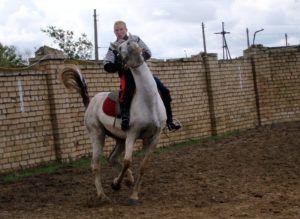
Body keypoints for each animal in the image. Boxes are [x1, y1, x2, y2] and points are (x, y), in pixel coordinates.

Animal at [60, 33, 166, 204]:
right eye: (120, 48)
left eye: (136, 41)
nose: (135, 52)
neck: (148, 101)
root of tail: (91, 103)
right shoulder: (132, 134)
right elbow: (128, 161)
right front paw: (116, 184)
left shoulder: (155, 137)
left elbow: (143, 166)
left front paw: (134, 194)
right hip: (98, 135)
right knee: (96, 165)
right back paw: (103, 195)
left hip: (119, 138)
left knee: (112, 158)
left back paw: (127, 180)